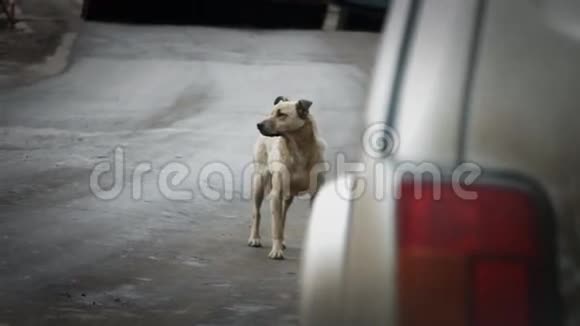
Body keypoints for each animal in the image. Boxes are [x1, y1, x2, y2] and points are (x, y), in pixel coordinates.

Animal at [249, 96, 326, 260]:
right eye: (271, 113)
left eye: (281, 114)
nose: (259, 125)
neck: (298, 149)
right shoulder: (276, 194)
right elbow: (275, 225)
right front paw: (276, 251)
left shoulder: (315, 194)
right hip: (260, 181)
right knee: (257, 212)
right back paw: (254, 238)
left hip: (288, 194)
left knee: (283, 215)